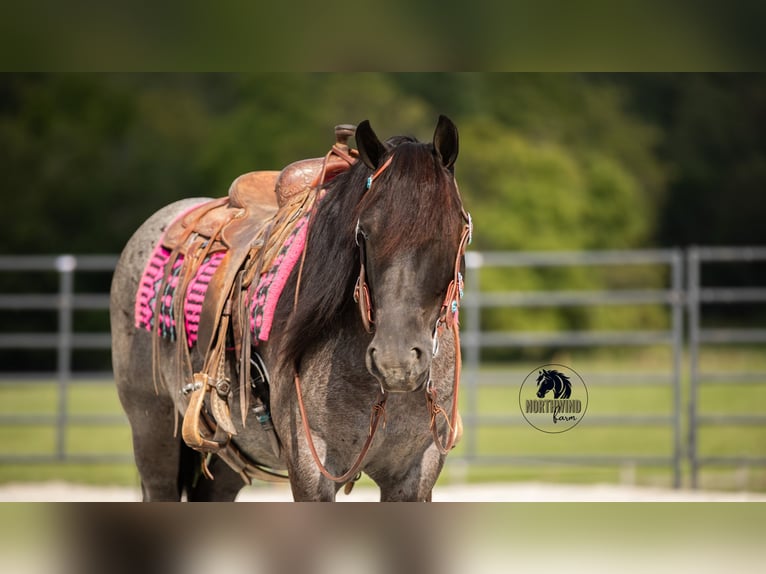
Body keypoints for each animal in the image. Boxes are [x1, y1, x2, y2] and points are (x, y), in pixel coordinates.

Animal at [110, 115, 472, 501]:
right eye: (363, 233)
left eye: (453, 231)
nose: (396, 362)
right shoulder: (311, 469)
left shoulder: (414, 473)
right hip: (152, 430)